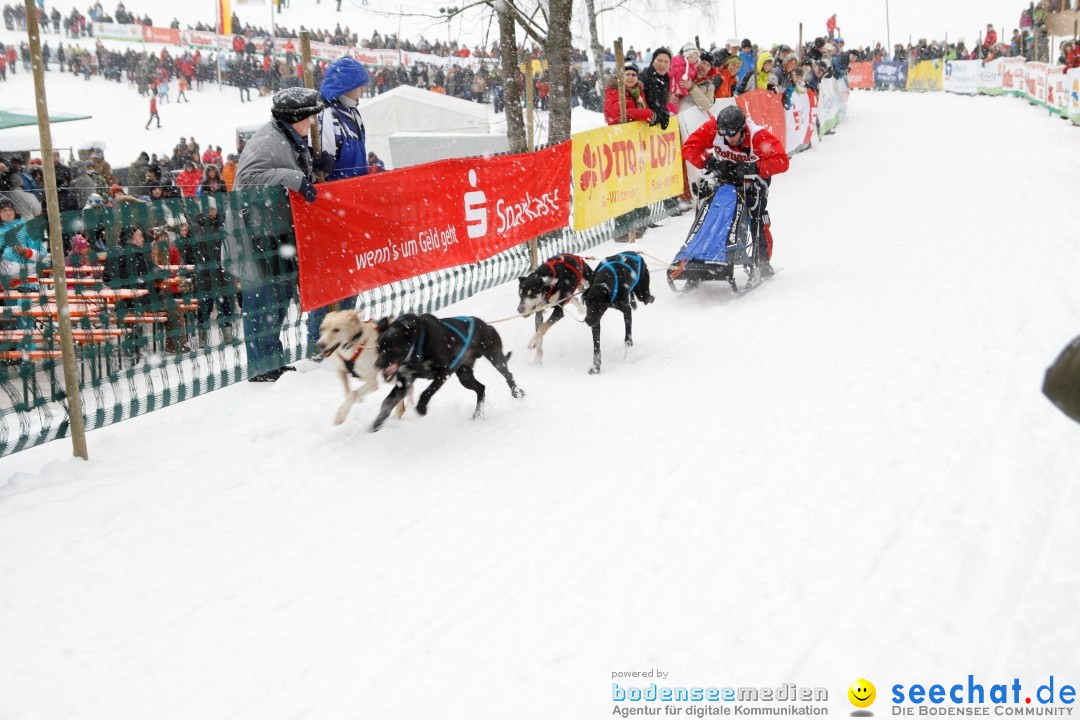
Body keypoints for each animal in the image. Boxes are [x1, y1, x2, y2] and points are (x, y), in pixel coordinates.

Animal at [369, 313, 524, 431]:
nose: (377, 364)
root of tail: (486, 325)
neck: (417, 343)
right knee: (481, 388)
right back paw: (478, 415)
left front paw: (421, 408)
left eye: (393, 347)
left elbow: (427, 392)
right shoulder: (404, 383)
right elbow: (386, 404)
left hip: (494, 357)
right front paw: (375, 425)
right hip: (464, 376)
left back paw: (517, 393)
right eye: (379, 348)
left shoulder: (444, 371)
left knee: (507, 375)